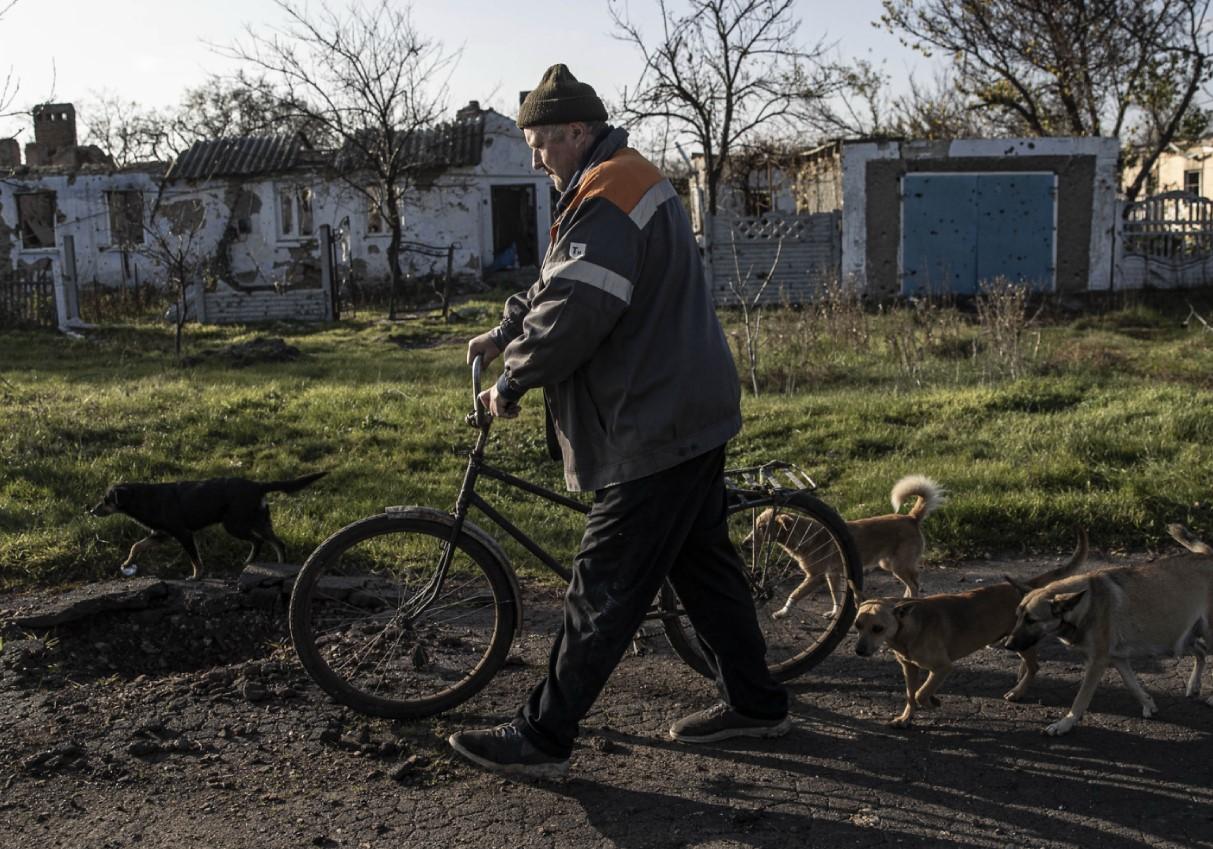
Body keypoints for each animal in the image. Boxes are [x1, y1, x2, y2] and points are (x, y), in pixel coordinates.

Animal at [89, 475, 325, 579]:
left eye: (106, 500)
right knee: (274, 542)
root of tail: (258, 485)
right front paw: (127, 563)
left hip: (235, 524)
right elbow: (136, 546)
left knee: (262, 541)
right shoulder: (161, 535)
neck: (143, 499)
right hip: (254, 520)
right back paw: (275, 565)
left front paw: (196, 575)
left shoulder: (183, 534)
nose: (91, 511)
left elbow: (195, 558)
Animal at [756, 475, 946, 620]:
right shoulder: (832, 575)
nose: (748, 542)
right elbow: (836, 596)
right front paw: (834, 614)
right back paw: (903, 603)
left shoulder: (816, 576)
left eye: (761, 527)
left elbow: (794, 594)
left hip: (898, 565)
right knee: (911, 583)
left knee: (914, 584)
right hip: (890, 565)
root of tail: (911, 518)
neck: (804, 534)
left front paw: (782, 612)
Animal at [853, 526, 1091, 727]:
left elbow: (921, 693)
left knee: (1035, 667)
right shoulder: (909, 668)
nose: (858, 651)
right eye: (857, 626)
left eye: (878, 628)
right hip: (1019, 640)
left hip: (1021, 638)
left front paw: (933, 702)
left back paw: (1018, 691)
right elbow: (911, 695)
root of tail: (1027, 587)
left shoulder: (942, 667)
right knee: (1029, 663)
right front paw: (906, 718)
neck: (908, 630)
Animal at [1004, 523, 1213, 737]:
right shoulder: (1117, 659)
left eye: (1031, 620)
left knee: (1204, 651)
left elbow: (1081, 699)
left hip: (1201, 633)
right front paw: (1148, 704)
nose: (1008, 645)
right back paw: (1193, 685)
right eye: (1017, 616)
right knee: (1201, 651)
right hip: (1181, 637)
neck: (1087, 604)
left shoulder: (1097, 663)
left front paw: (1065, 724)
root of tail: (1207, 555)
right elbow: (1132, 685)